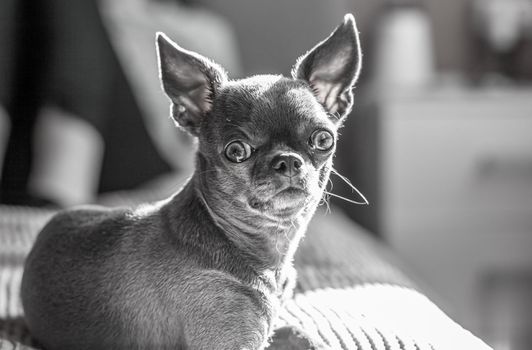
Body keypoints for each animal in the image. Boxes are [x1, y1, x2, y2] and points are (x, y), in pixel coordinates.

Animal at [20, 13, 362, 350]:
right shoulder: (231, 342)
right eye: (236, 151)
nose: (288, 160)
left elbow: (302, 335)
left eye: (324, 139)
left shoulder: (271, 329)